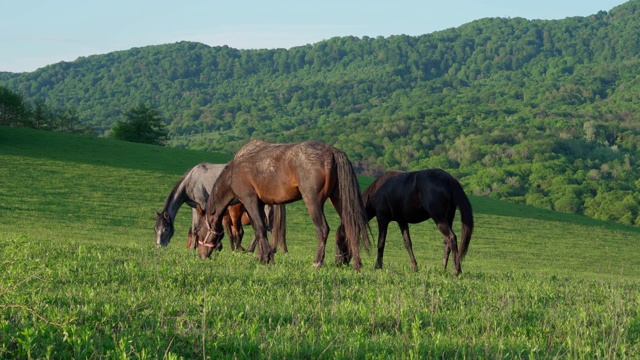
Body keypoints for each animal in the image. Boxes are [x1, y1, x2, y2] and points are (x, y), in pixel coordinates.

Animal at [152, 163, 284, 253]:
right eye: (155, 229)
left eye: (165, 229)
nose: (159, 247)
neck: (191, 180)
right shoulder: (195, 206)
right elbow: (195, 229)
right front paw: (192, 249)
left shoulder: (204, 204)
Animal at [199, 139, 370, 268]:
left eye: (200, 232)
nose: (200, 255)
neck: (234, 172)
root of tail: (333, 151)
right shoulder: (260, 204)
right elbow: (258, 230)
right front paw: (262, 257)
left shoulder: (250, 200)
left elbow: (260, 228)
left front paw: (267, 258)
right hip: (338, 199)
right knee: (351, 227)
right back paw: (357, 264)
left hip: (313, 202)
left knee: (322, 229)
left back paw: (317, 262)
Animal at [338, 170, 472, 274]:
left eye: (340, 240)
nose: (339, 263)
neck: (377, 190)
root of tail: (449, 178)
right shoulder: (402, 221)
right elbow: (407, 243)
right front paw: (414, 267)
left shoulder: (382, 218)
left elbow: (381, 243)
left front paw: (378, 266)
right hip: (448, 218)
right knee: (447, 242)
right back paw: (443, 268)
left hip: (439, 218)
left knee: (452, 238)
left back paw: (457, 270)